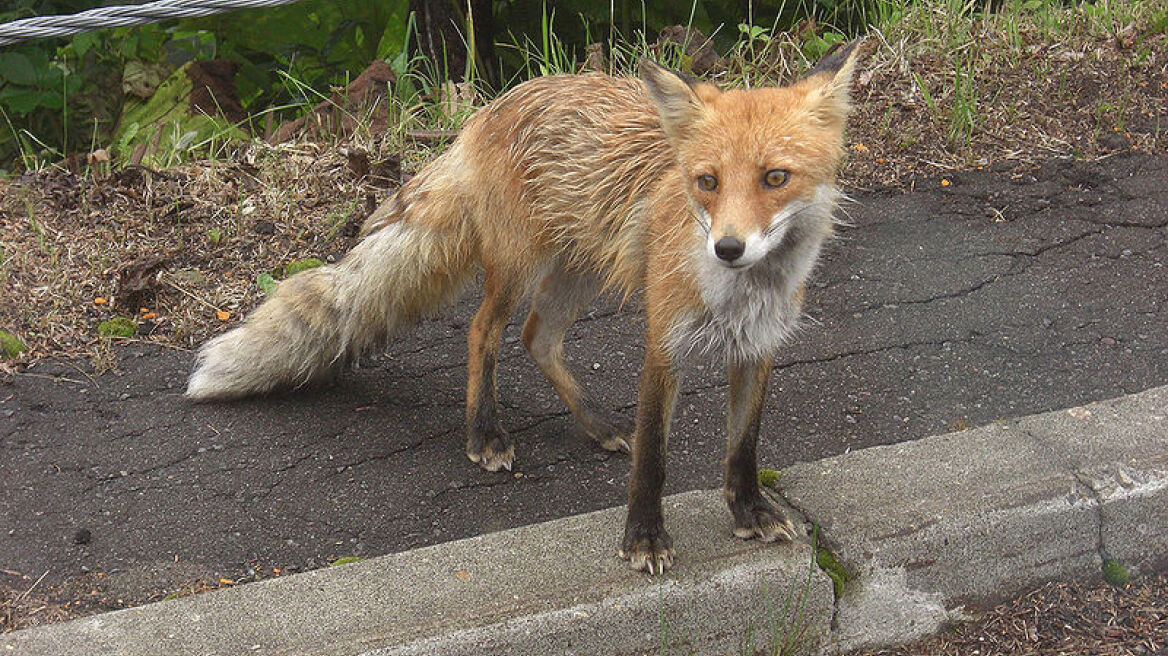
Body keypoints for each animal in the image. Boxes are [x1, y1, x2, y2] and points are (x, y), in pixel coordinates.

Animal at [186, 42, 864, 571]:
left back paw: (595, 423)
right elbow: (653, 457)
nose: (727, 247)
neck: (744, 292)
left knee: (537, 336)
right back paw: (485, 432)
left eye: (775, 178)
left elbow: (744, 446)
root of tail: (492, 107)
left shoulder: (759, 347)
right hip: (520, 265)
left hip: (580, 269)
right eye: (707, 182)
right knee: (483, 332)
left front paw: (750, 511)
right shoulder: (663, 343)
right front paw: (644, 538)